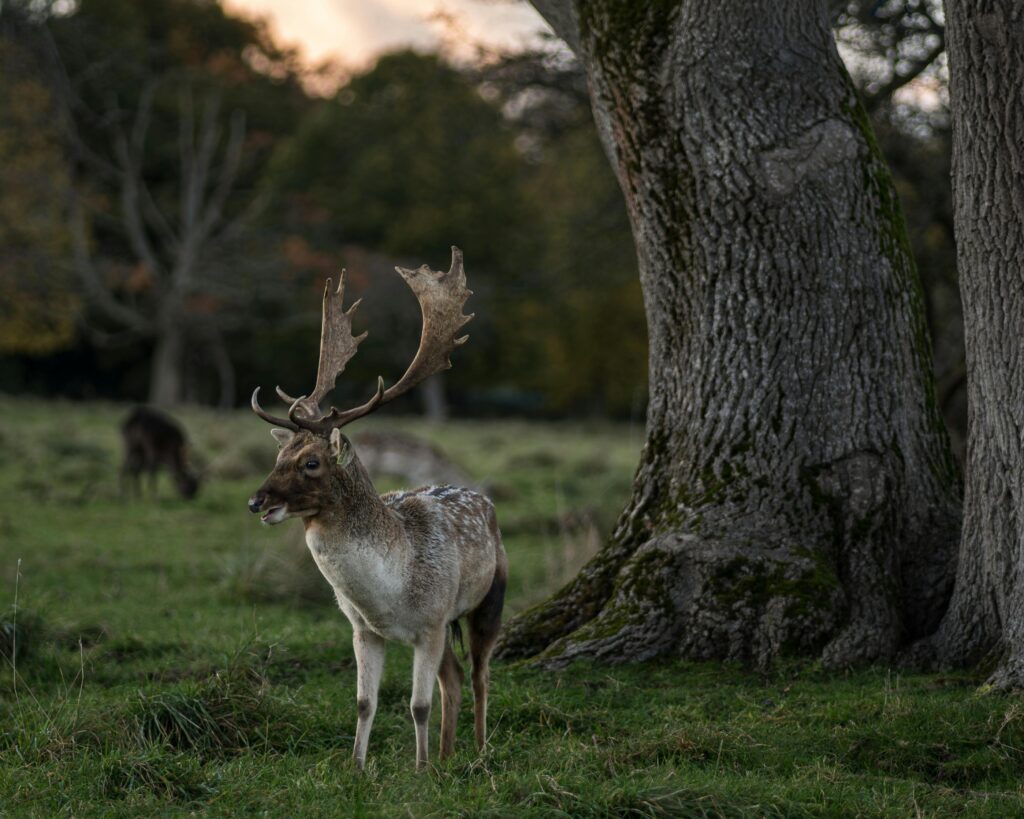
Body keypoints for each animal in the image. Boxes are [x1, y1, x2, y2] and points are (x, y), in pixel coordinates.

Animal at [247, 247, 507, 772]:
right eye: (278, 455)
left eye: (311, 462)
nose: (256, 501)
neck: (391, 594)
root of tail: (484, 498)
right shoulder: (363, 629)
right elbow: (365, 702)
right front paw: (358, 767)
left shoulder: (429, 623)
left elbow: (418, 704)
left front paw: (420, 771)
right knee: (454, 679)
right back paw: (448, 755)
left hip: (491, 594)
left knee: (480, 675)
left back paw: (478, 751)